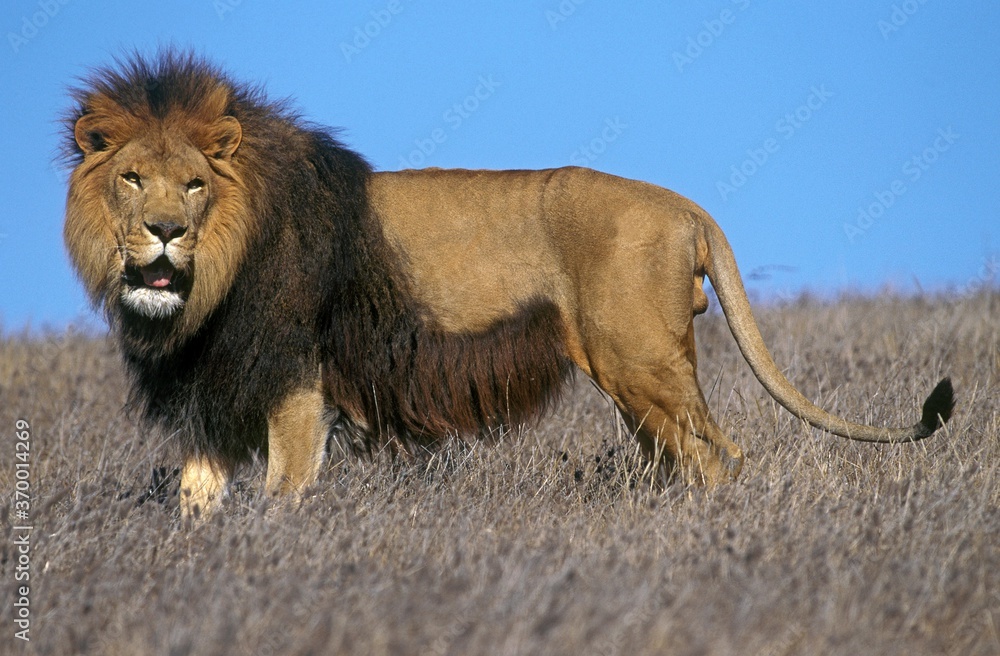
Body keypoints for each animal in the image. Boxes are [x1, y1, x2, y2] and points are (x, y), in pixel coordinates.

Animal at [63, 51, 954, 518]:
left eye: (194, 186)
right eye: (133, 179)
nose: (166, 231)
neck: (207, 286)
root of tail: (684, 205)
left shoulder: (297, 385)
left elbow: (285, 491)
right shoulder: (212, 393)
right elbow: (194, 498)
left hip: (641, 364)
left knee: (718, 456)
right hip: (641, 384)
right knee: (681, 456)